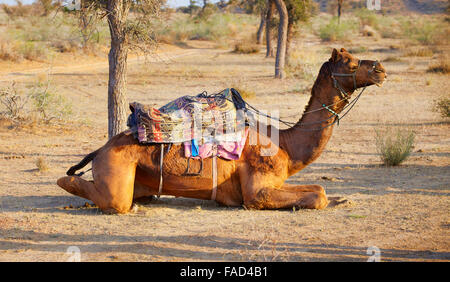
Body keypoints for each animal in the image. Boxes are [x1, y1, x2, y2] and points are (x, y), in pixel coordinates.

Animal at [57, 48, 386, 214]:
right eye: (351, 63)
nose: (380, 69)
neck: (287, 145)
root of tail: (99, 150)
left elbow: (320, 189)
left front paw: (344, 199)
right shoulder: (257, 192)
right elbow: (317, 196)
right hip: (116, 174)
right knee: (89, 190)